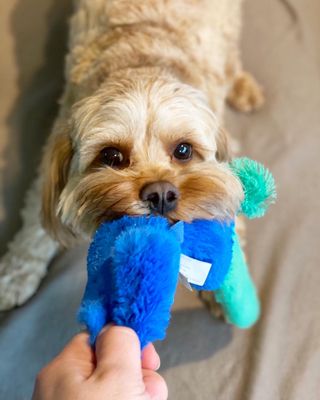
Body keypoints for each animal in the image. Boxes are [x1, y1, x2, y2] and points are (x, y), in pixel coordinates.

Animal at [0, 0, 264, 310]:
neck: (140, 63)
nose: (160, 193)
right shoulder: (49, 163)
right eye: (112, 156)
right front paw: (16, 274)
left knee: (231, 58)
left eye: (183, 150)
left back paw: (242, 85)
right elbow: (35, 227)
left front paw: (225, 294)